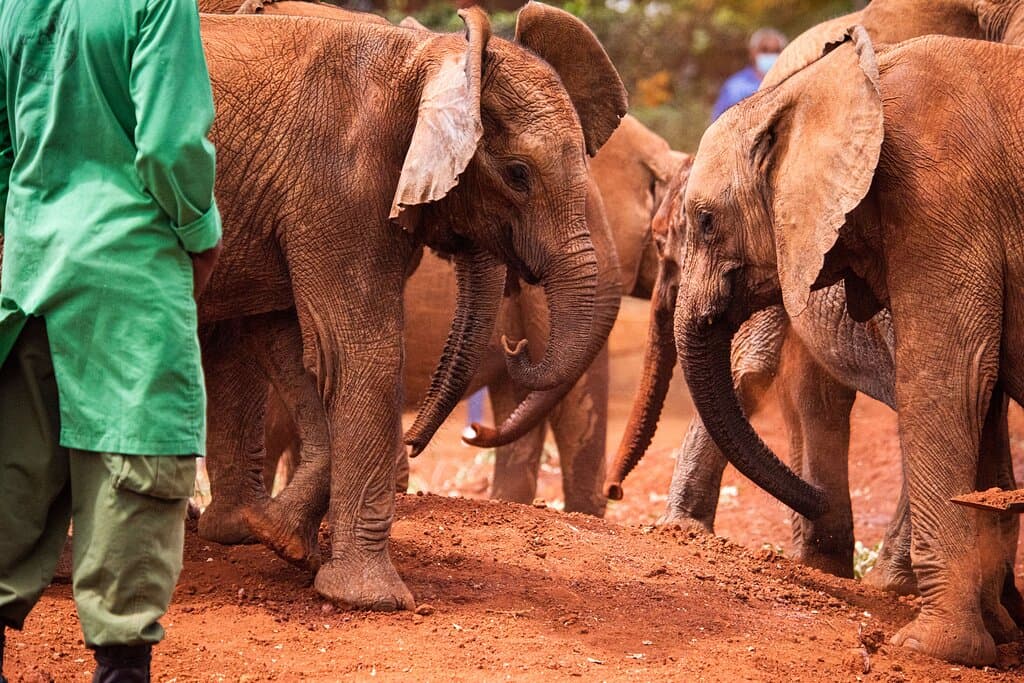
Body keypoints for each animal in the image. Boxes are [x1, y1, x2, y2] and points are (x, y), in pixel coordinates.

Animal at [196, 3, 628, 610]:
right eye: (517, 175)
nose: (515, 344)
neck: (426, 57)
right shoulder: (339, 184)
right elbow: (357, 352)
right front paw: (370, 601)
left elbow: (299, 346)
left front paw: (279, 541)